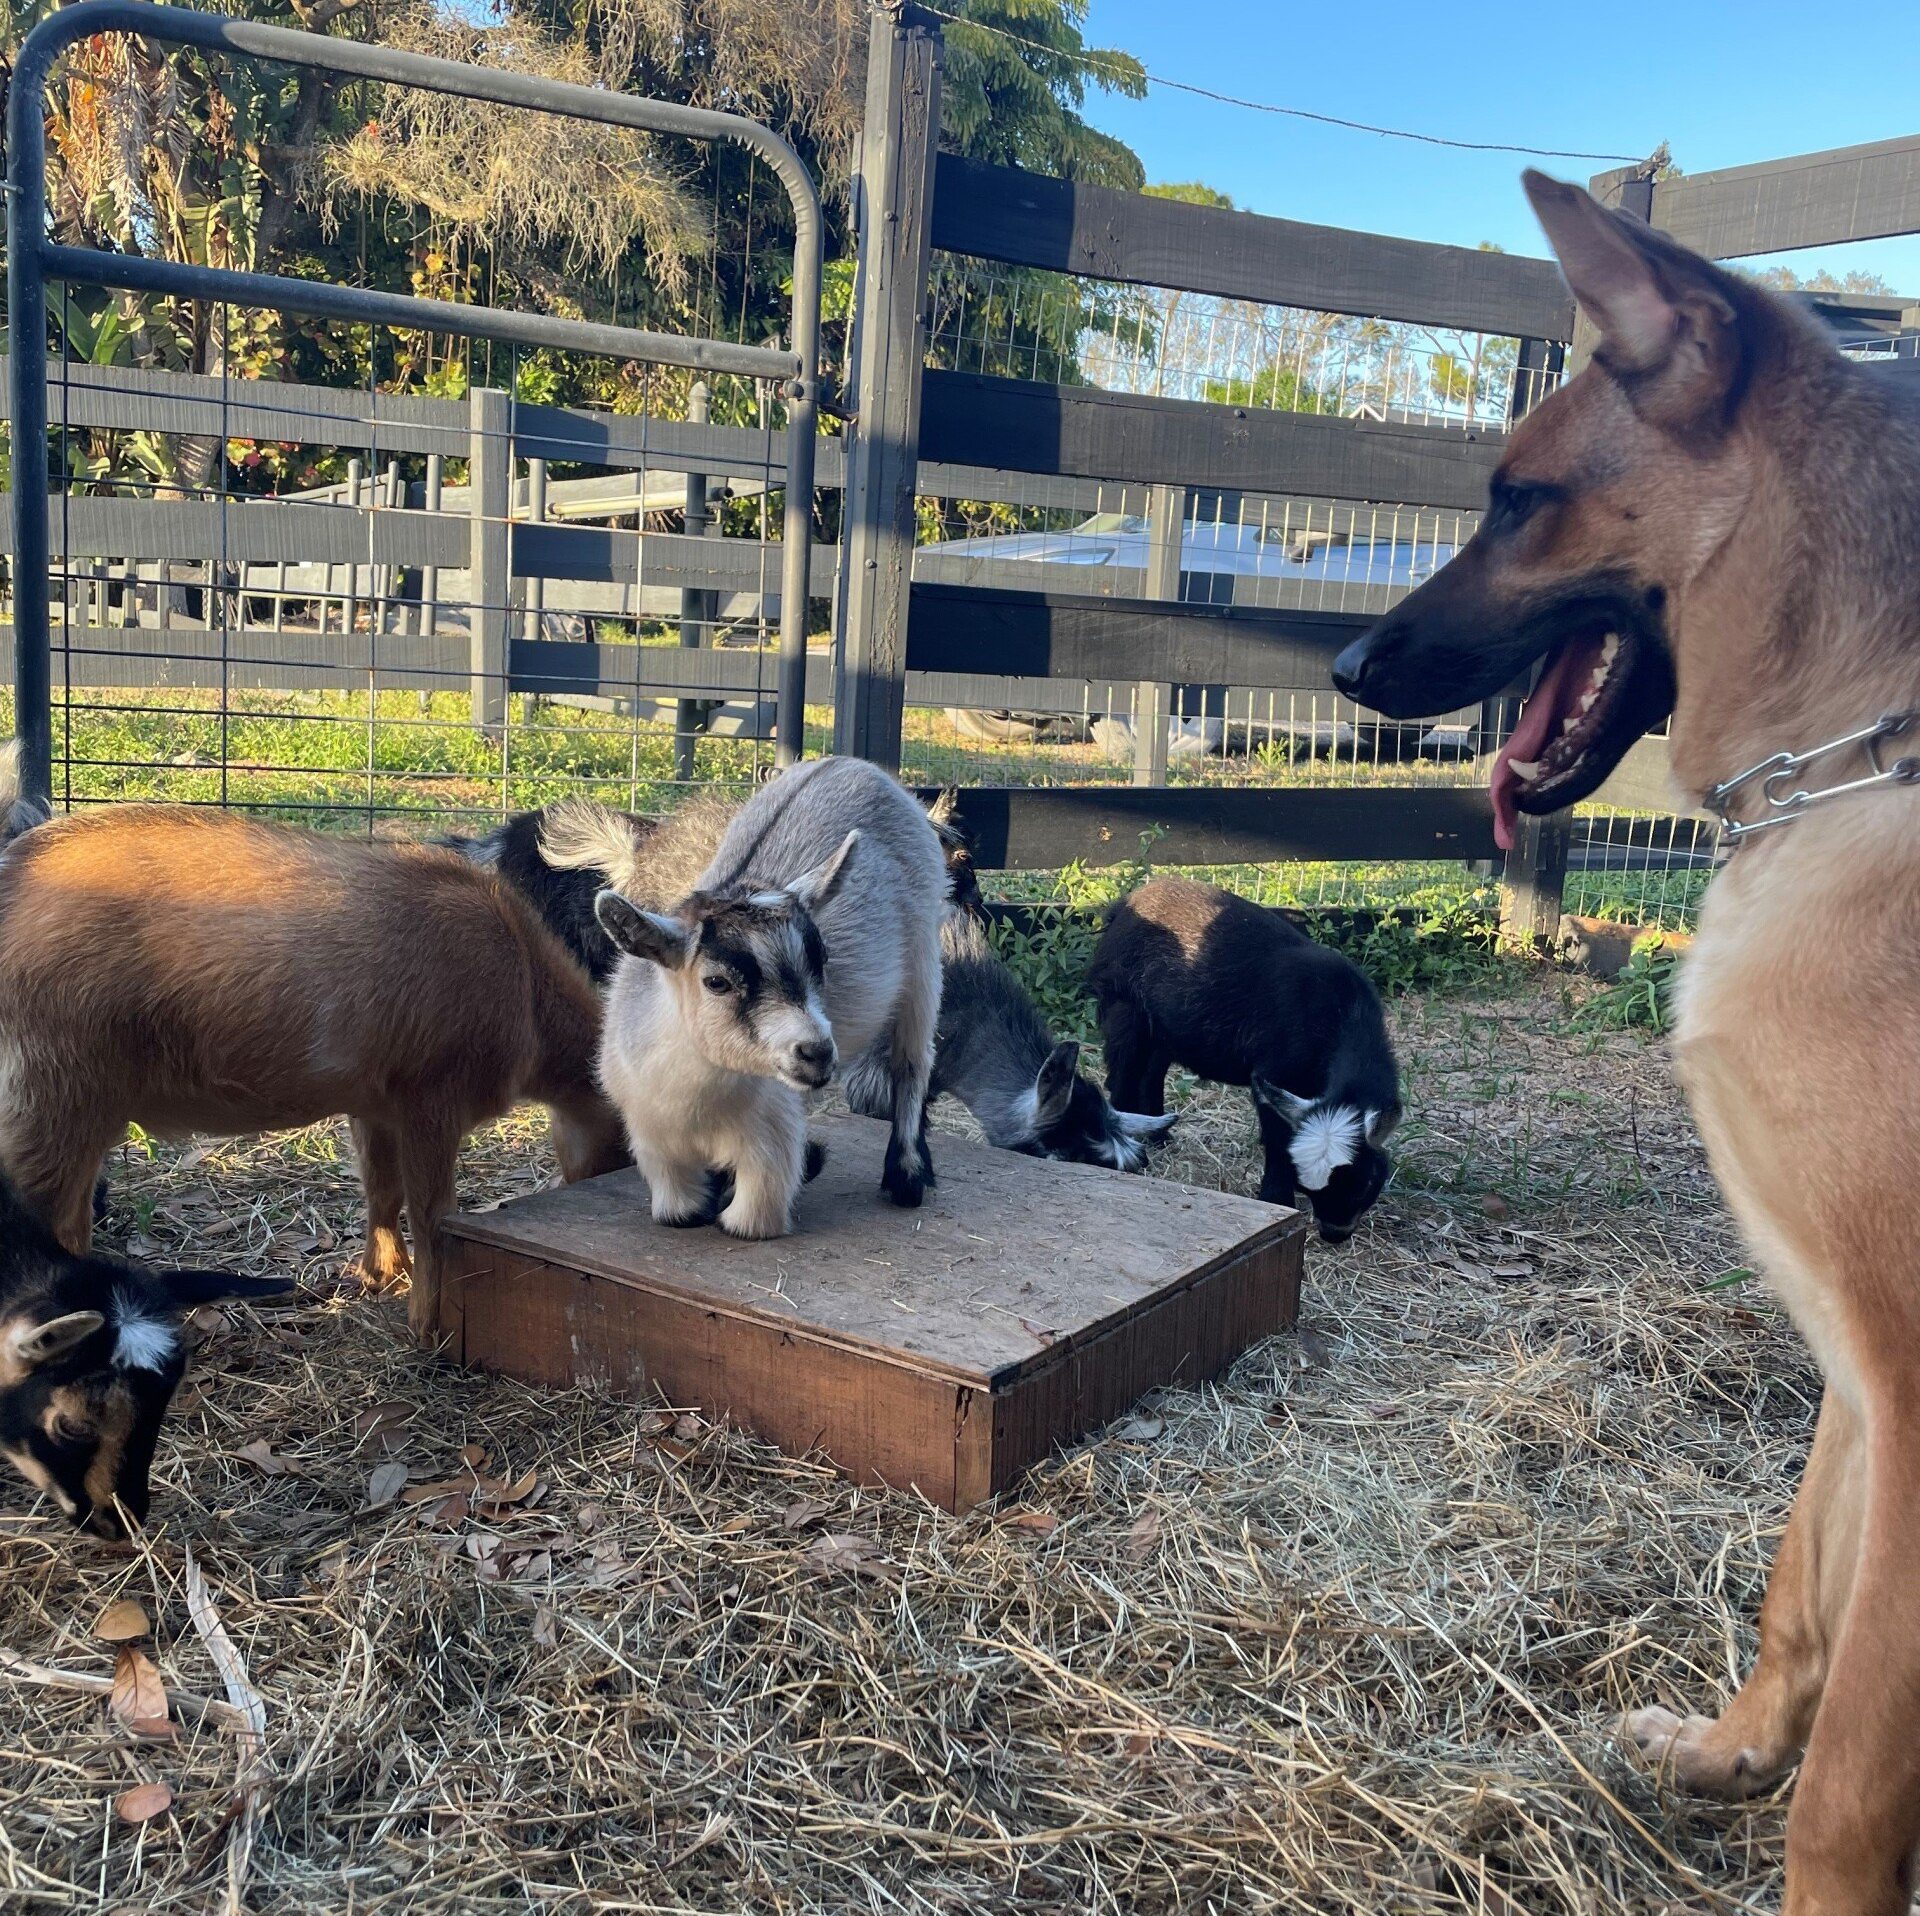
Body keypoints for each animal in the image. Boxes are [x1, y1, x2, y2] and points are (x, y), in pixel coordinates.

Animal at [0, 790, 629, 1339]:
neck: (525, 981)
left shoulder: (375, 1106)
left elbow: (382, 1192)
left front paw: (382, 1276)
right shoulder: (431, 1099)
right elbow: (433, 1216)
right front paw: (427, 1326)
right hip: (53, 1095)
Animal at [562, 756, 945, 1238]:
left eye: (822, 960)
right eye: (716, 982)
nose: (817, 1053)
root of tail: (852, 764)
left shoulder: (769, 1144)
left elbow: (745, 1222)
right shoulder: (654, 1143)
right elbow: (680, 1214)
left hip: (926, 949)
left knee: (912, 1058)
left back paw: (907, 1174)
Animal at [1089, 877, 1400, 1242]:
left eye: (1364, 1183)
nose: (1333, 1234)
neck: (1341, 1013)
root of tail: (1124, 904)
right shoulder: (1275, 1073)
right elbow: (1278, 1139)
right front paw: (1277, 1200)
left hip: (1166, 1024)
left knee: (1151, 1072)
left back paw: (1160, 1136)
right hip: (1125, 1007)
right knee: (1123, 1076)